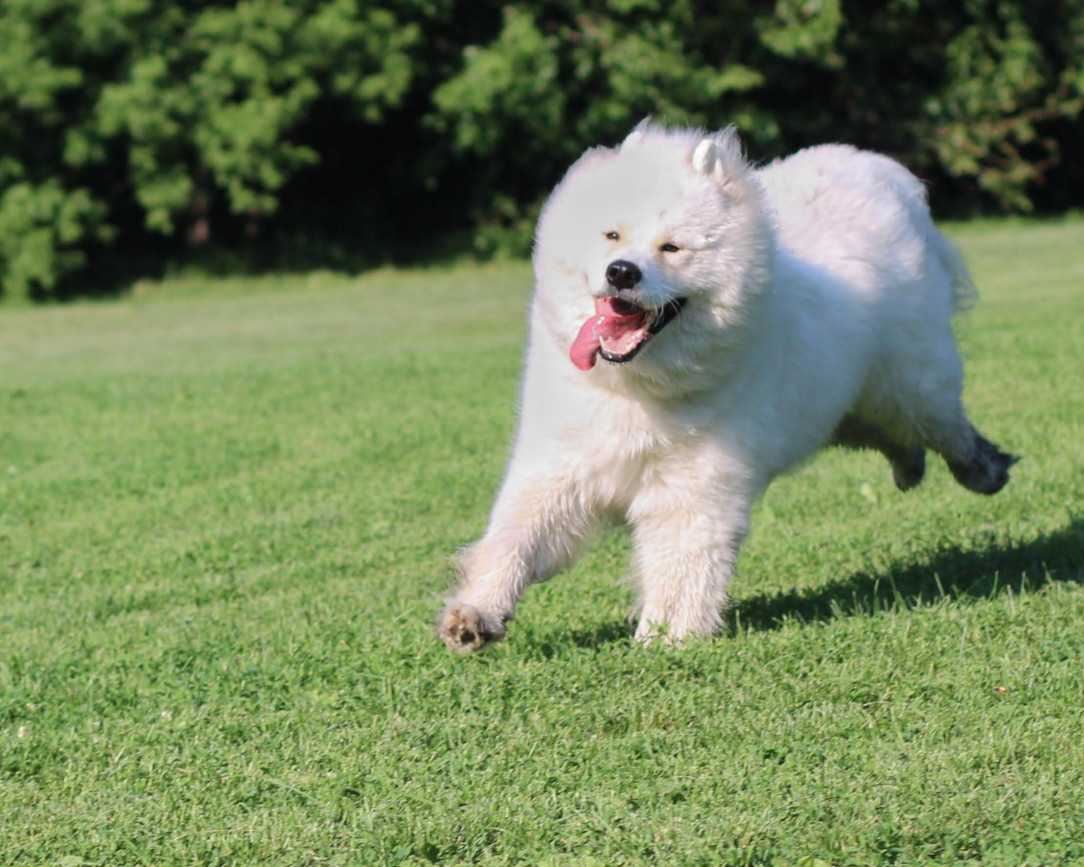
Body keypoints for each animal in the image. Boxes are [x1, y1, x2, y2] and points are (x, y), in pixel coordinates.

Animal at [435, 121, 1010, 650]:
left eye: (672, 248)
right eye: (612, 236)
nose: (621, 272)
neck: (638, 389)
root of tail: (876, 171)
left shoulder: (693, 493)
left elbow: (680, 571)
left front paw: (666, 640)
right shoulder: (557, 470)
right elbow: (512, 541)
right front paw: (475, 616)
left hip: (911, 388)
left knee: (947, 429)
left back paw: (985, 469)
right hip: (850, 409)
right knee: (894, 437)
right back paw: (912, 468)